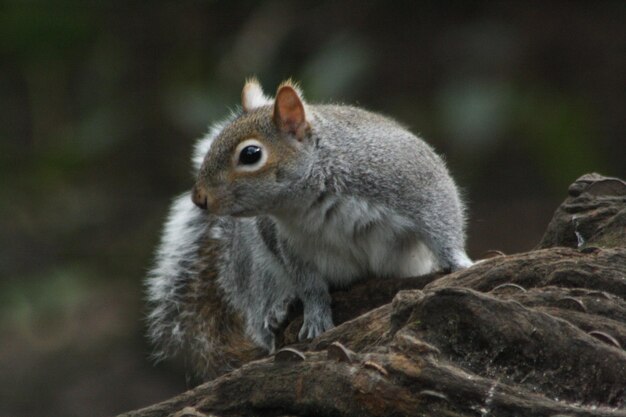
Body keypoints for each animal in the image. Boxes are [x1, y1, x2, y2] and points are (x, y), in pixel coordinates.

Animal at [145, 77, 468, 376]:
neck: (311, 198)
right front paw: (315, 317)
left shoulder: (411, 181)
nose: (199, 198)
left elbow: (441, 218)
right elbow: (309, 284)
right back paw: (276, 308)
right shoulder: (292, 244)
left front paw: (459, 263)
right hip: (255, 259)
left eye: (250, 154)